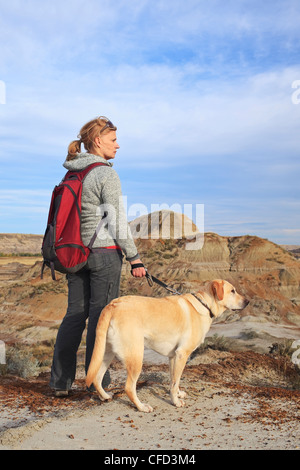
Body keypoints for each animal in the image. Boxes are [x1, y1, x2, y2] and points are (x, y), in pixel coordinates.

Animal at [86, 280, 248, 412]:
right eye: (232, 291)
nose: (247, 301)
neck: (205, 304)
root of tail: (112, 305)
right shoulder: (182, 354)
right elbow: (175, 382)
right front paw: (175, 402)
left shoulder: (173, 357)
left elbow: (174, 380)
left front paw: (177, 394)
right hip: (136, 357)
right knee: (129, 388)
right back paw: (141, 406)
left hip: (106, 354)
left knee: (97, 378)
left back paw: (105, 396)